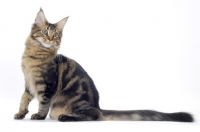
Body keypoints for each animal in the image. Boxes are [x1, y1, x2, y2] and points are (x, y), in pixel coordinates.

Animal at [13, 9, 193, 122]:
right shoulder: (28, 83)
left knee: (94, 115)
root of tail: (97, 105)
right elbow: (24, 99)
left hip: (69, 103)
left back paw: (66, 117)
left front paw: (38, 116)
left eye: (55, 35)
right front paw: (21, 113)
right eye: (45, 33)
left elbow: (43, 103)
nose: (50, 40)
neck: (35, 55)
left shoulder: (47, 84)